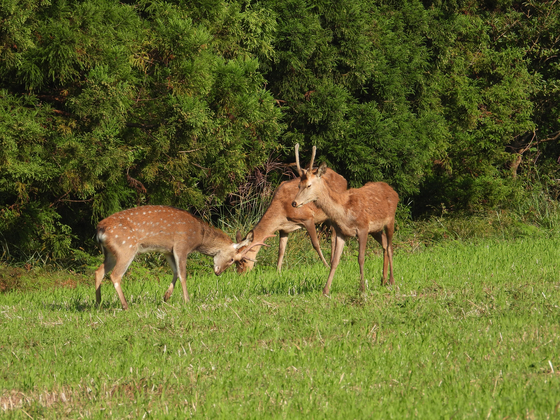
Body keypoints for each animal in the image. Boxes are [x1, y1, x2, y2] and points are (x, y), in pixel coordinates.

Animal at [94, 205, 274, 310]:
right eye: (232, 260)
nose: (218, 273)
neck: (198, 237)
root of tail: (100, 229)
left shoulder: (167, 250)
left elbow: (175, 272)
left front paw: (166, 296)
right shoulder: (181, 245)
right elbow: (183, 274)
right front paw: (187, 300)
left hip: (110, 253)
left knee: (99, 271)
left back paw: (98, 303)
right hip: (126, 248)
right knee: (115, 275)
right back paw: (125, 305)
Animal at [290, 145, 400, 296]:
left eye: (309, 185)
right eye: (299, 185)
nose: (294, 203)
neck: (344, 213)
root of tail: (394, 191)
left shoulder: (363, 227)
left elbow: (361, 258)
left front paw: (362, 288)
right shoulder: (341, 232)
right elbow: (335, 260)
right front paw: (325, 290)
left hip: (390, 220)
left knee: (390, 247)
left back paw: (392, 281)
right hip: (375, 229)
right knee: (384, 243)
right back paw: (383, 280)